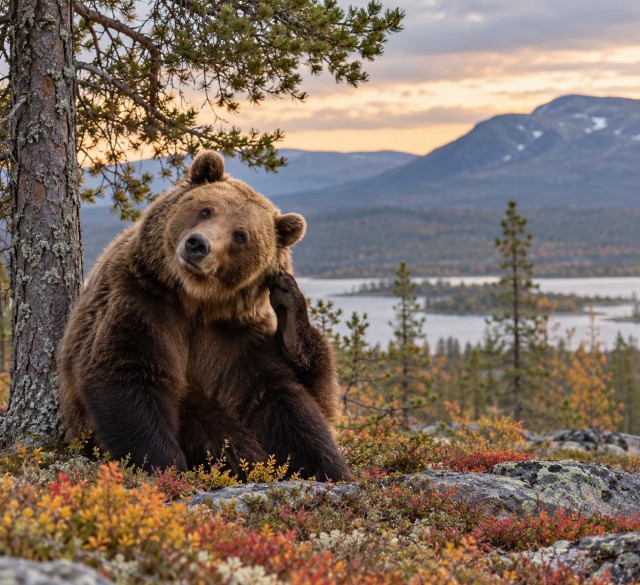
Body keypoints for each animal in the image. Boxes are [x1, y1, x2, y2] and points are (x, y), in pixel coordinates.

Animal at [57, 151, 353, 482]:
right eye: (205, 210)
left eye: (240, 235)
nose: (198, 244)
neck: (194, 301)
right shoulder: (139, 300)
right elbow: (127, 372)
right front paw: (165, 464)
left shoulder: (233, 335)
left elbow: (282, 400)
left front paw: (330, 468)